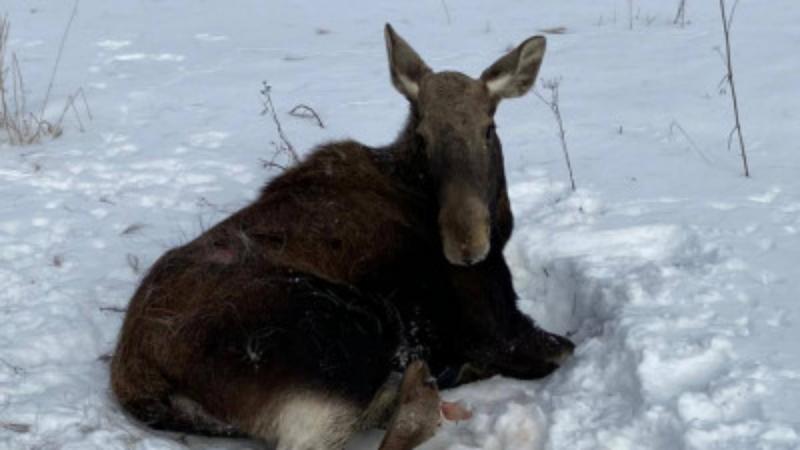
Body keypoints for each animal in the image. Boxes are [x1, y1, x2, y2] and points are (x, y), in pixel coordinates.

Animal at [112, 25, 576, 450]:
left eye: (488, 128)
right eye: (422, 135)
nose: (466, 245)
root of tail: (137, 378)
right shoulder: (500, 330)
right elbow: (563, 348)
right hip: (347, 330)